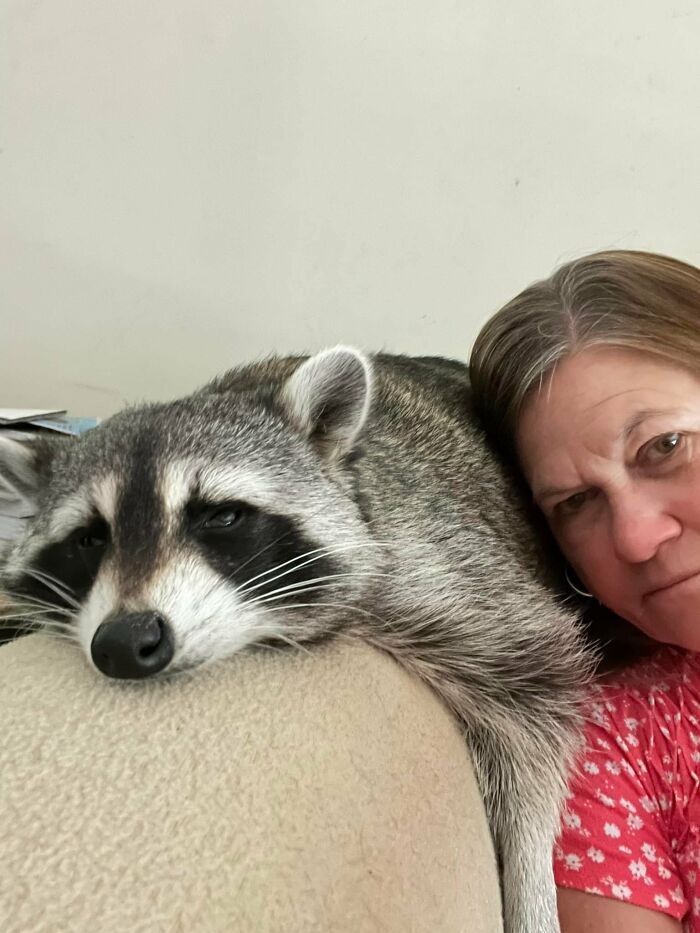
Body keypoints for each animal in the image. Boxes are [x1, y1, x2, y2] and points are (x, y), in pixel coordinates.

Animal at [0, 347, 594, 933]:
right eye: (89, 539)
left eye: (222, 516)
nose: (125, 642)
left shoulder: (448, 574)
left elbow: (536, 711)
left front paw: (531, 887)